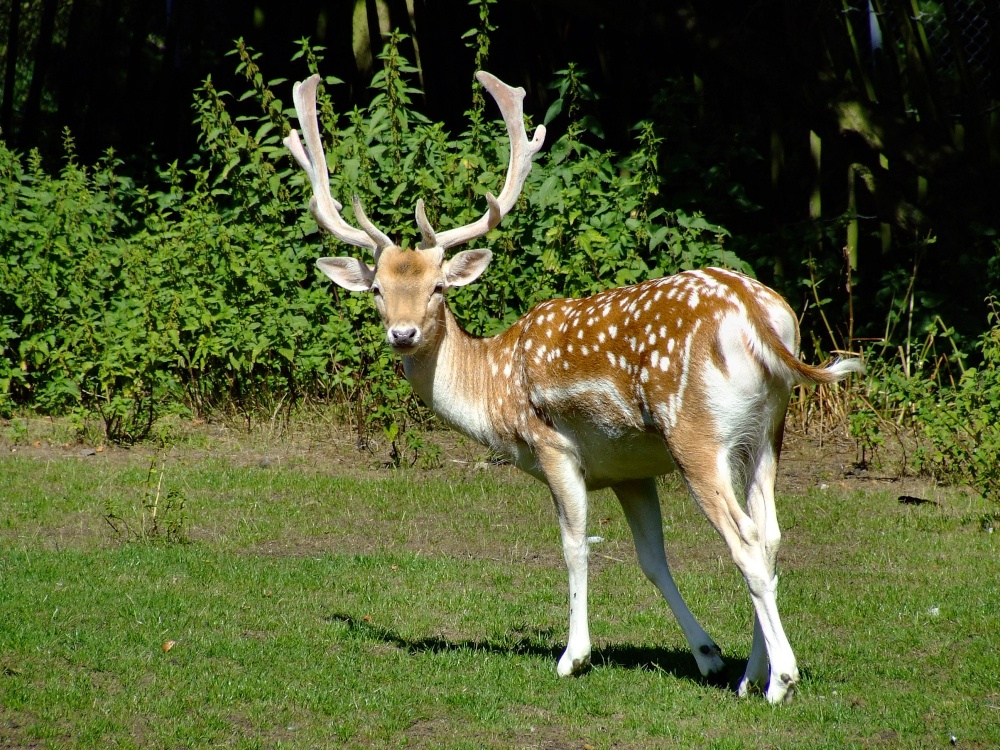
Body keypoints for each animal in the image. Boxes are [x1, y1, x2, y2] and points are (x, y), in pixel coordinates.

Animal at [286, 69, 864, 704]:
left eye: (438, 286)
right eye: (378, 290)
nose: (403, 333)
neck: (494, 387)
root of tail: (759, 312)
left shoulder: (554, 445)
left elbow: (574, 545)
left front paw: (573, 656)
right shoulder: (629, 468)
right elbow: (651, 557)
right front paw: (707, 655)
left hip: (696, 434)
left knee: (746, 543)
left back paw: (780, 680)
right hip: (766, 430)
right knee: (770, 535)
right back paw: (748, 675)